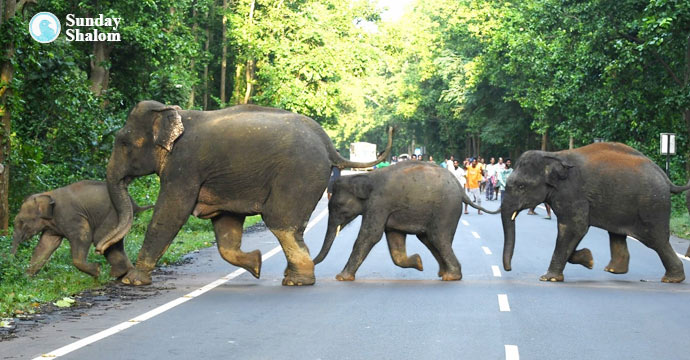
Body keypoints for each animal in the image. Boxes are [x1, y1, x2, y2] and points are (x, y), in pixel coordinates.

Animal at [10, 180, 151, 278]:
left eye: (21, 222)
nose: (12, 260)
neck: (48, 194)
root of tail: (134, 204)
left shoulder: (71, 217)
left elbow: (84, 237)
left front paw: (97, 271)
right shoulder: (53, 226)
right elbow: (45, 246)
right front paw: (27, 278)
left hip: (113, 216)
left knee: (100, 238)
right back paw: (124, 273)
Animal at [97, 100, 392, 286]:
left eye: (123, 143)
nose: (100, 247)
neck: (175, 113)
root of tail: (329, 145)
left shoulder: (184, 166)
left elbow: (171, 212)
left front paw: (132, 280)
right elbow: (225, 225)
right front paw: (257, 263)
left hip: (299, 176)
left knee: (280, 221)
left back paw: (297, 281)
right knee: (290, 226)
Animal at [314, 162, 498, 282]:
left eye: (338, 206)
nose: (312, 263)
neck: (366, 176)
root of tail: (461, 189)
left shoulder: (379, 203)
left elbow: (370, 235)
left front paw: (341, 277)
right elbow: (394, 239)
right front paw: (419, 262)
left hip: (446, 209)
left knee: (437, 237)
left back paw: (451, 276)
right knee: (429, 239)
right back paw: (443, 273)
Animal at [500, 142, 688, 282]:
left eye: (521, 186)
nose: (509, 269)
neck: (553, 155)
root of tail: (666, 178)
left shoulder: (572, 193)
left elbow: (575, 227)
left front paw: (548, 278)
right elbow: (574, 231)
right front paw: (589, 260)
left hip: (651, 207)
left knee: (656, 240)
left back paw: (672, 279)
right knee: (617, 234)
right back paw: (613, 270)